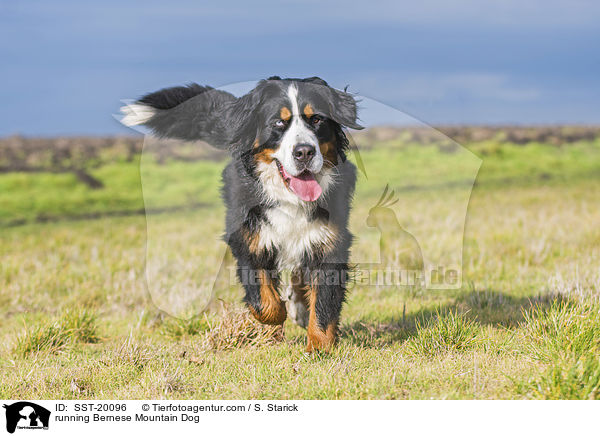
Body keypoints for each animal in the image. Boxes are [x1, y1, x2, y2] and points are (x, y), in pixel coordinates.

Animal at [123, 76, 360, 352]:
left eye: (317, 119)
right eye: (278, 122)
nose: (304, 152)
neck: (290, 199)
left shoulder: (329, 240)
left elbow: (323, 303)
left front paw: (319, 348)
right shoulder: (249, 238)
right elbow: (265, 303)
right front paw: (276, 319)